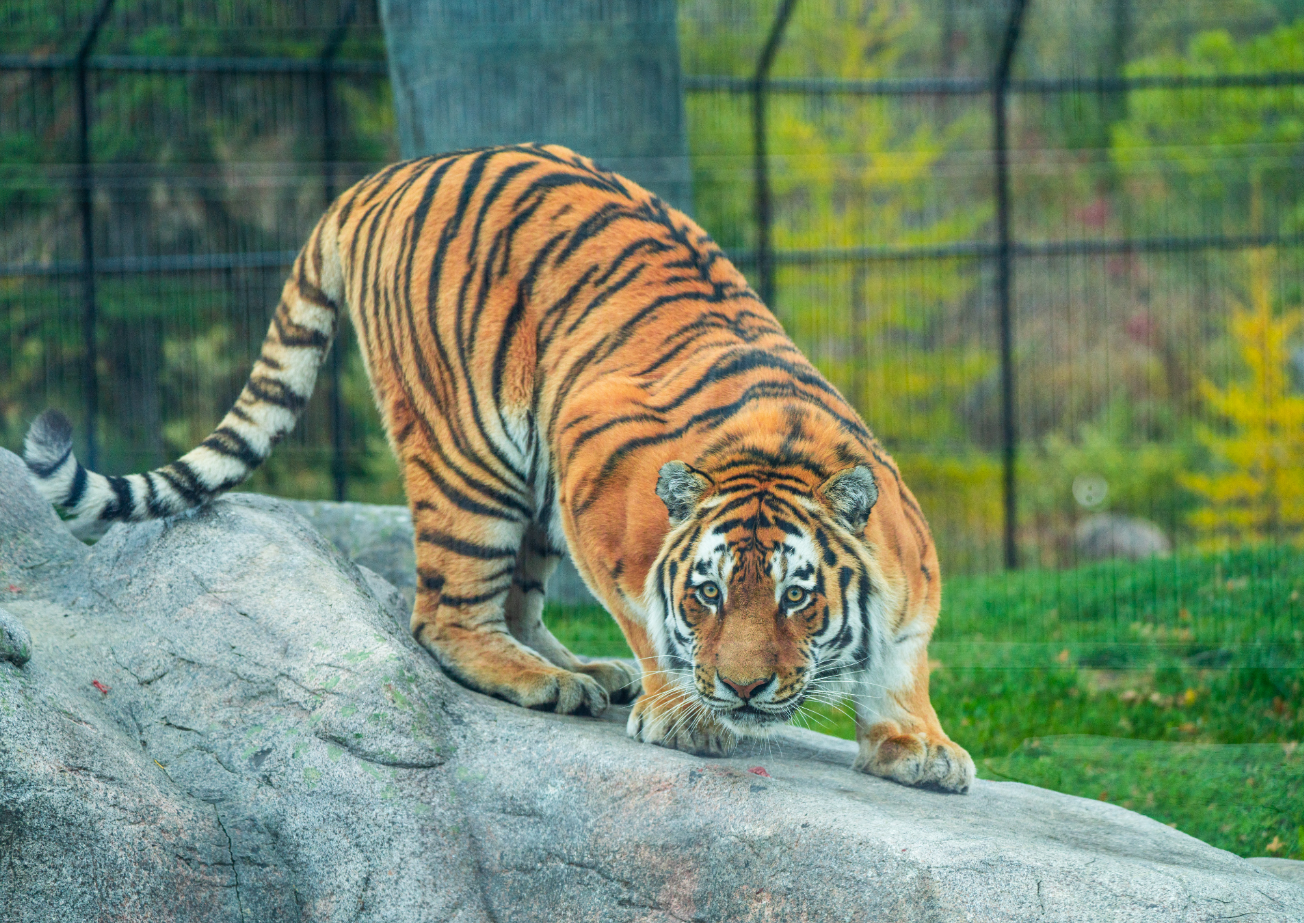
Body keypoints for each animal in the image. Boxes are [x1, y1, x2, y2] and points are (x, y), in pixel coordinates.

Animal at [23, 143, 974, 792]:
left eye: (796, 597)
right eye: (707, 593)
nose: (743, 689)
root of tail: (379, 178)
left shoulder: (912, 577)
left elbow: (907, 658)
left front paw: (921, 745)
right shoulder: (600, 474)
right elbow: (646, 615)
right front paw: (681, 713)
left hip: (532, 481)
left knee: (517, 597)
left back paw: (581, 670)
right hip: (473, 456)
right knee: (446, 614)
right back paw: (545, 680)